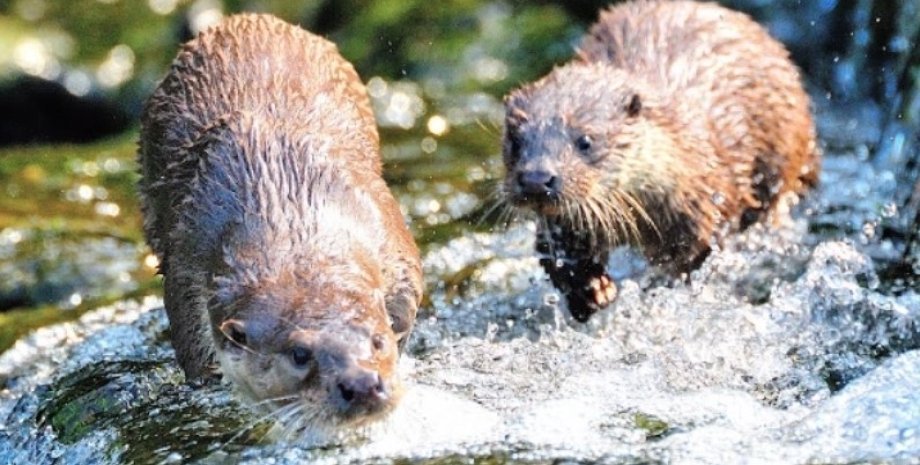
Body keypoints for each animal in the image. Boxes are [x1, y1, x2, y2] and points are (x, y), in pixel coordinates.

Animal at [137, 14, 424, 426]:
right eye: (300, 354)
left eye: (377, 340)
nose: (362, 383)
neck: (285, 208)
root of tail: (248, 18)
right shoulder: (187, 259)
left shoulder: (385, 230)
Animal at [504, 0, 820, 320]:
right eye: (515, 141)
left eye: (585, 140)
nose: (536, 179)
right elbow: (556, 256)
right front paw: (591, 291)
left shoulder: (704, 207)